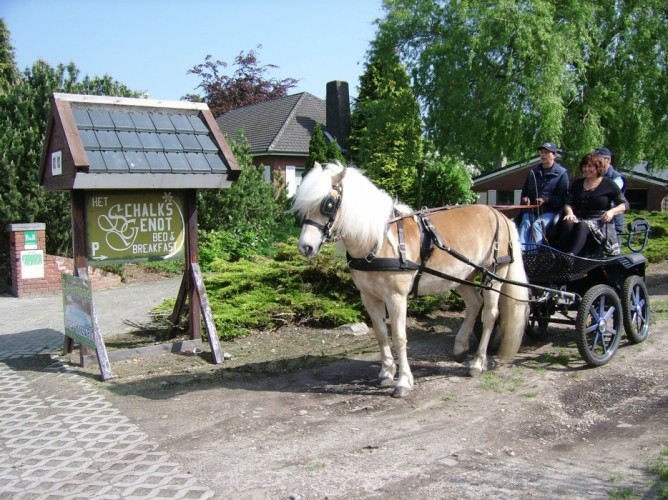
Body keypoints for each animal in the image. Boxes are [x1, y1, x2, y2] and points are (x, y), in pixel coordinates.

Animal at [294, 162, 528, 396]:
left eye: (328, 204)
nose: (305, 247)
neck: (377, 242)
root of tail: (499, 215)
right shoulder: (369, 297)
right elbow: (381, 333)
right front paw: (386, 373)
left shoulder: (396, 297)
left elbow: (399, 337)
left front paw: (403, 381)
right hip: (462, 276)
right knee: (474, 304)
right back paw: (460, 347)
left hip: (493, 275)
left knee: (489, 315)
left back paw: (478, 363)